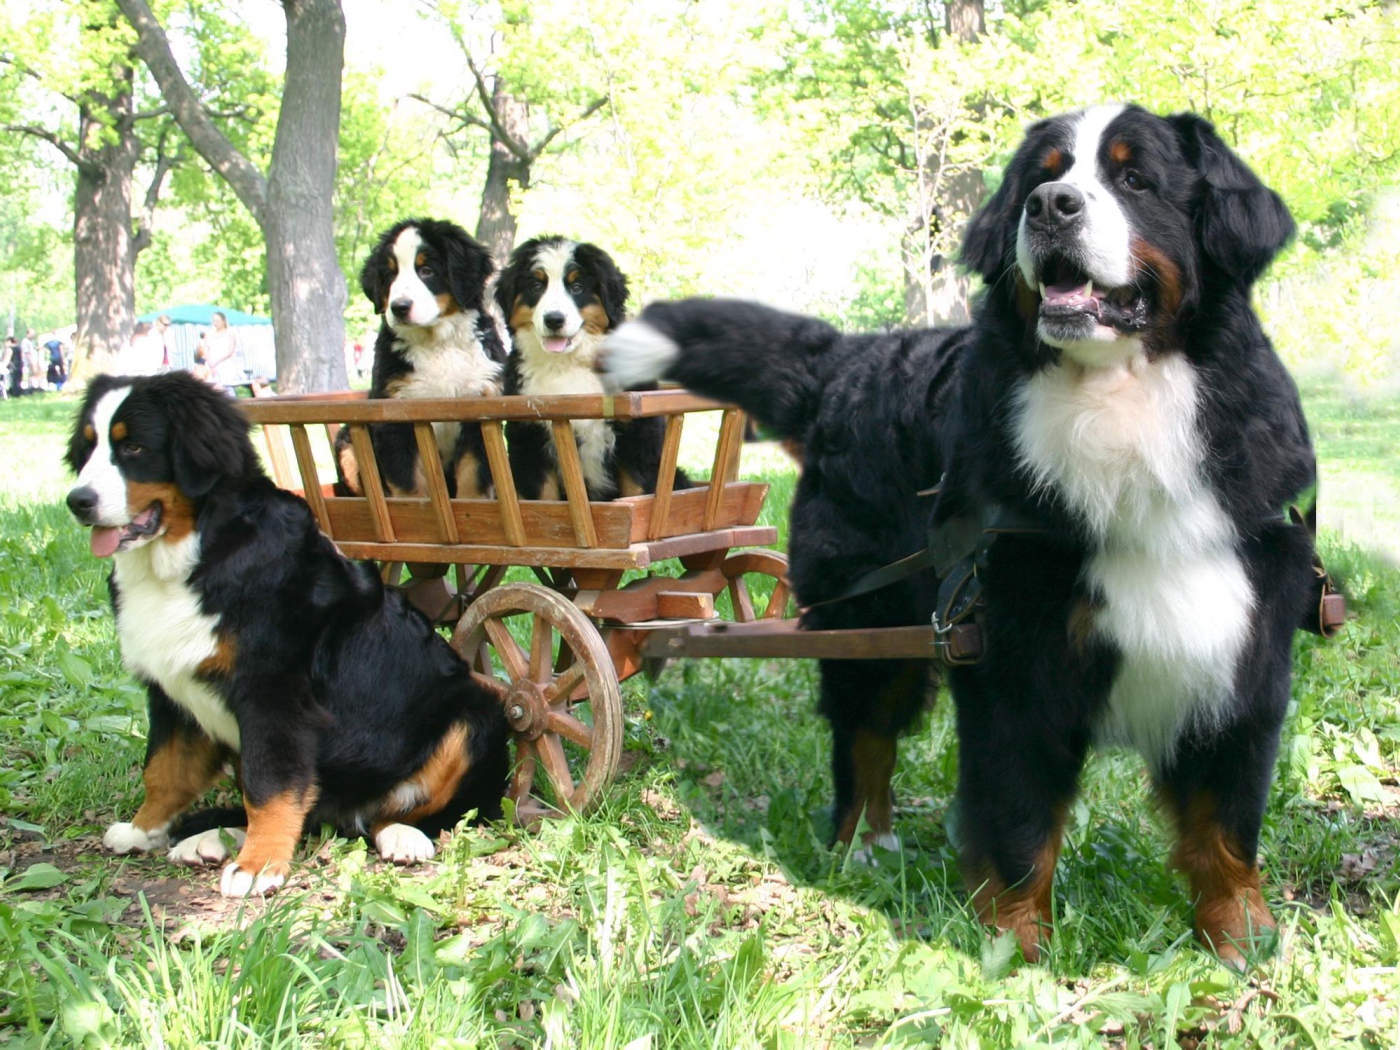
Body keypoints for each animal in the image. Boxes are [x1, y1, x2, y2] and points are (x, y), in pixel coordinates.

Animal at [65, 375, 512, 901]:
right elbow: (164, 770)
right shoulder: (171, 691)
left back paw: (402, 836)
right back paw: (209, 839)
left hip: (474, 714)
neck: (192, 557)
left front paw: (258, 866)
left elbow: (270, 784)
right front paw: (143, 829)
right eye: (89, 448)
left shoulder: (273, 696)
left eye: (134, 446)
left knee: (406, 814)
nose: (78, 501)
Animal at [338, 218, 509, 501]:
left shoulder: (481, 412)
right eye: (390, 275)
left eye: (427, 270)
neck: (437, 344)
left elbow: (473, 478)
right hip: (346, 443)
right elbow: (409, 482)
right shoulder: (394, 416)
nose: (399, 307)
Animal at [495, 238, 691, 501]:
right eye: (536, 286)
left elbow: (637, 492)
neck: (568, 364)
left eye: (576, 287)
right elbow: (544, 499)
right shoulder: (530, 439)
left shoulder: (638, 438)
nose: (554, 319)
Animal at [604, 107, 1321, 968]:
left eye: (1134, 178)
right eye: (1042, 177)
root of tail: (849, 358)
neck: (1118, 410)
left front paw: (1242, 938)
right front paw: (1017, 947)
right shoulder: (1015, 663)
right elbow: (1019, 826)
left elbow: (1225, 822)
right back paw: (862, 844)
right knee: (863, 736)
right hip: (871, 621)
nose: (1051, 207)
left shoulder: (1240, 652)